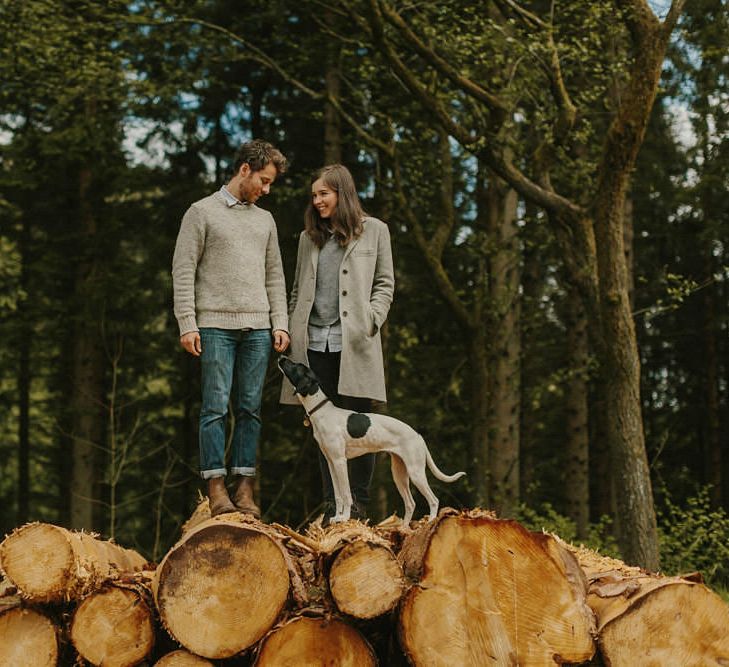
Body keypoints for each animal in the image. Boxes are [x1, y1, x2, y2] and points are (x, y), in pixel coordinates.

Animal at [278, 358, 466, 524]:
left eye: (296, 366)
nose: (281, 357)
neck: (322, 411)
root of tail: (418, 436)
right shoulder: (331, 462)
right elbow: (338, 495)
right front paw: (337, 517)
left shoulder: (340, 461)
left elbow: (346, 494)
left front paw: (344, 518)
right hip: (399, 473)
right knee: (410, 503)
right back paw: (403, 529)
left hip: (416, 471)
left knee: (433, 500)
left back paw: (431, 522)